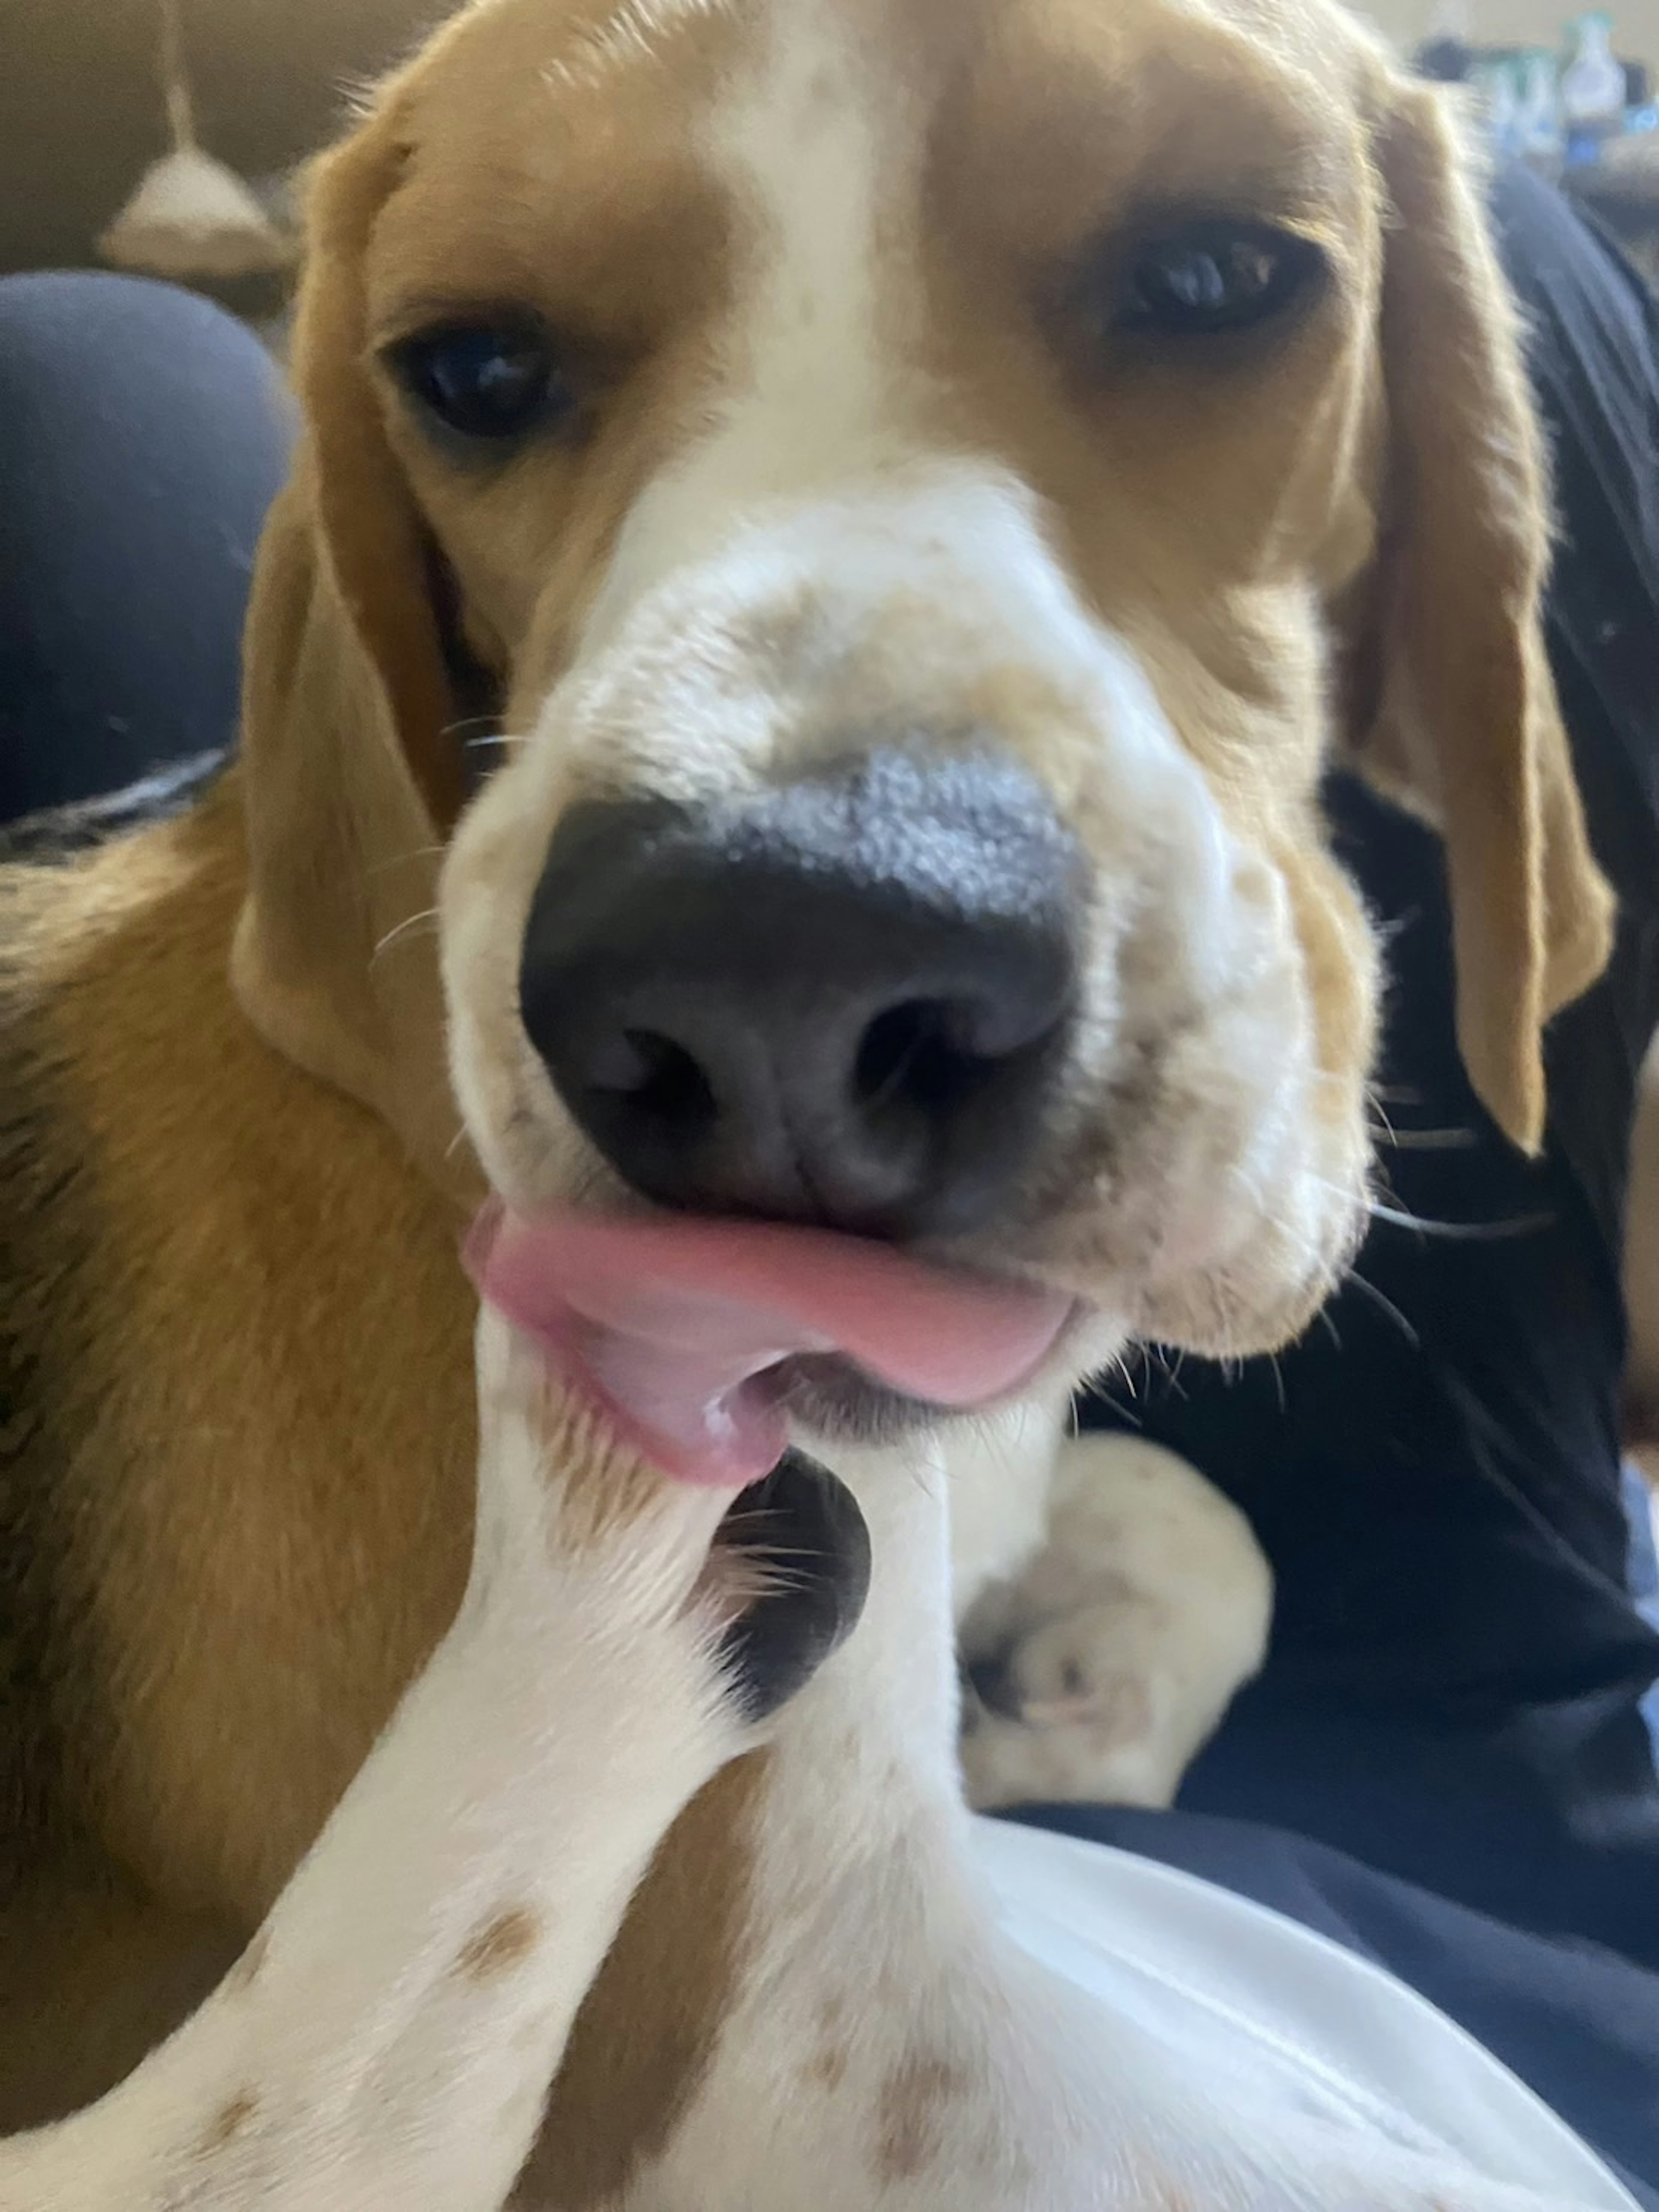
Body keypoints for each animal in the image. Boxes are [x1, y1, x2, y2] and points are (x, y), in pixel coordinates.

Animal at [0, 0, 1619, 2194]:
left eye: (1218, 275)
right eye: (473, 369)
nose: (773, 977)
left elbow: (1199, 1522)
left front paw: (1077, 1710)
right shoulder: (805, 2060)